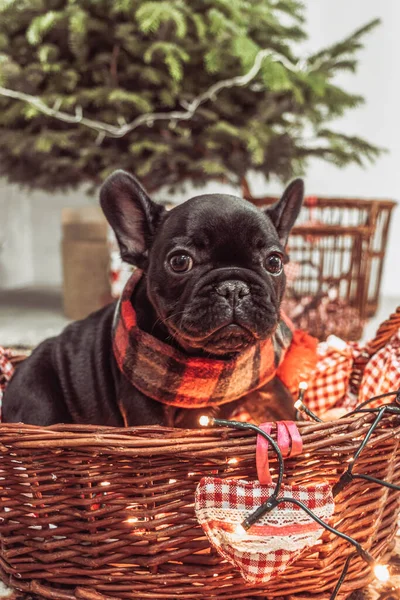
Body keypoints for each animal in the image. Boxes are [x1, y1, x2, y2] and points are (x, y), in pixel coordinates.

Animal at [2, 171, 304, 428]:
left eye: (274, 262)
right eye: (180, 261)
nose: (233, 288)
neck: (213, 365)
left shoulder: (268, 388)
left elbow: (290, 411)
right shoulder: (145, 409)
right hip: (38, 395)